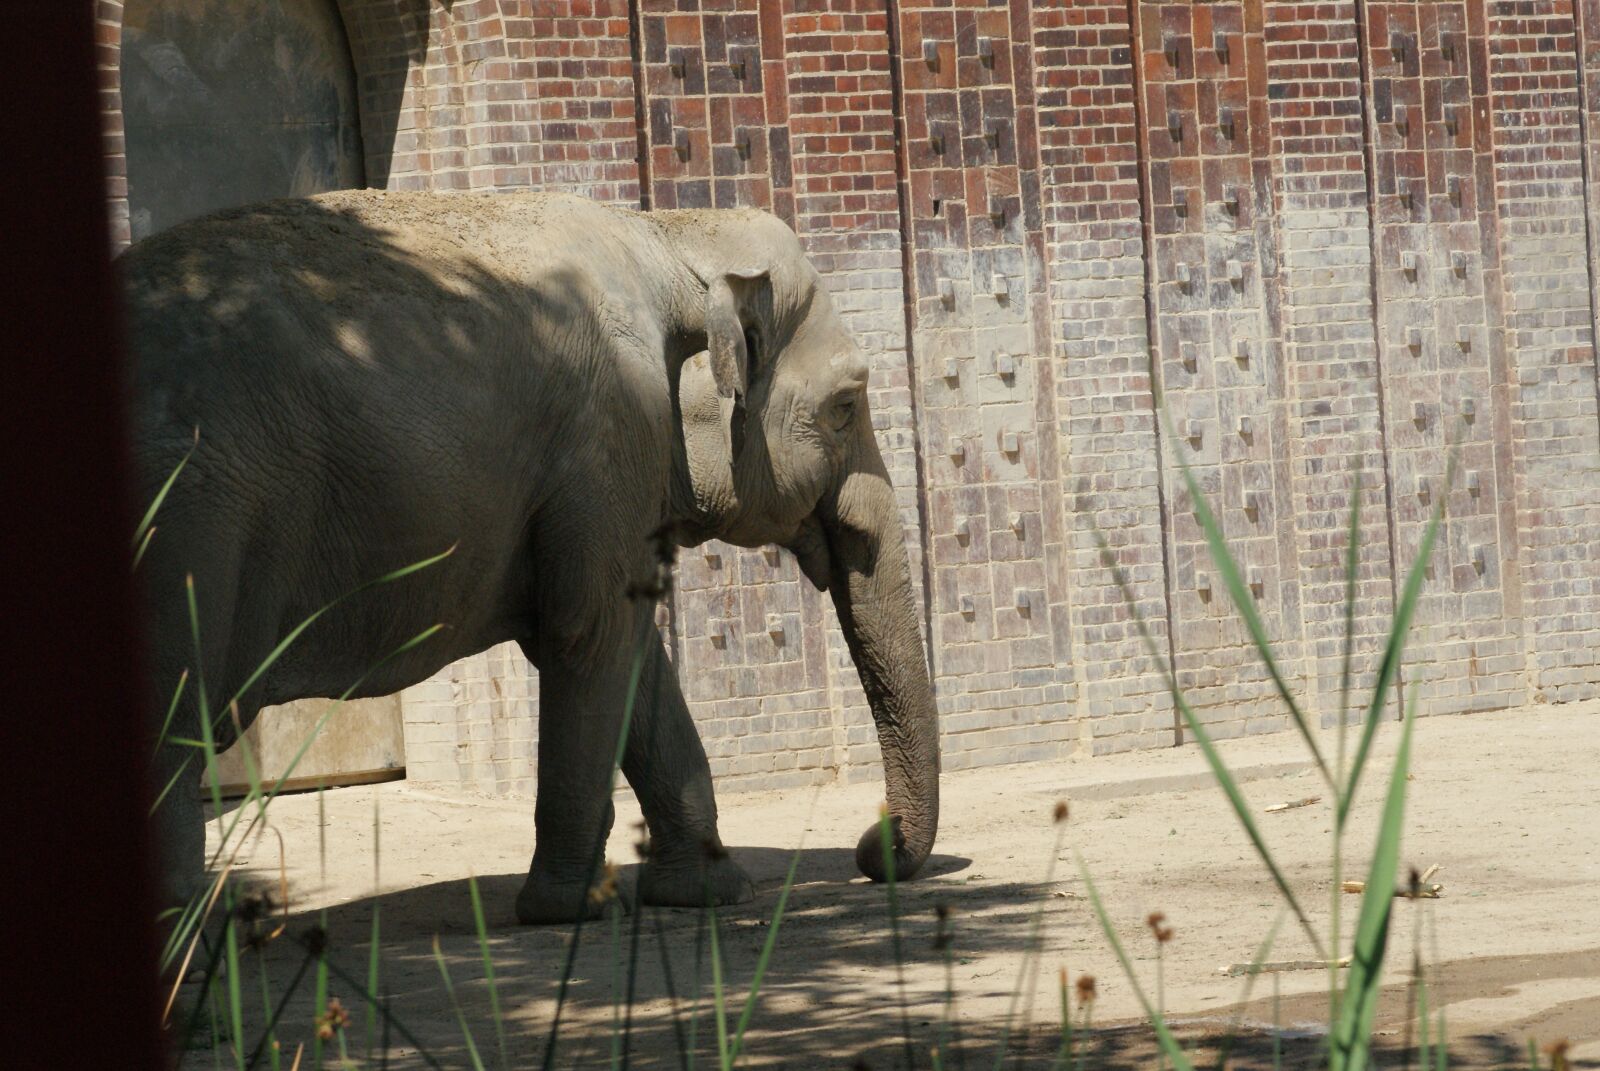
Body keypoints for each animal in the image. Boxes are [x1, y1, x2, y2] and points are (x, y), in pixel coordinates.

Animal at [125, 190, 940, 923]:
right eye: (845, 407)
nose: (873, 848)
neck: (670, 236)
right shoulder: (609, 436)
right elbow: (590, 635)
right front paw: (570, 910)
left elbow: (632, 656)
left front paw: (707, 893)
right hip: (189, 523)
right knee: (172, 717)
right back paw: (187, 926)